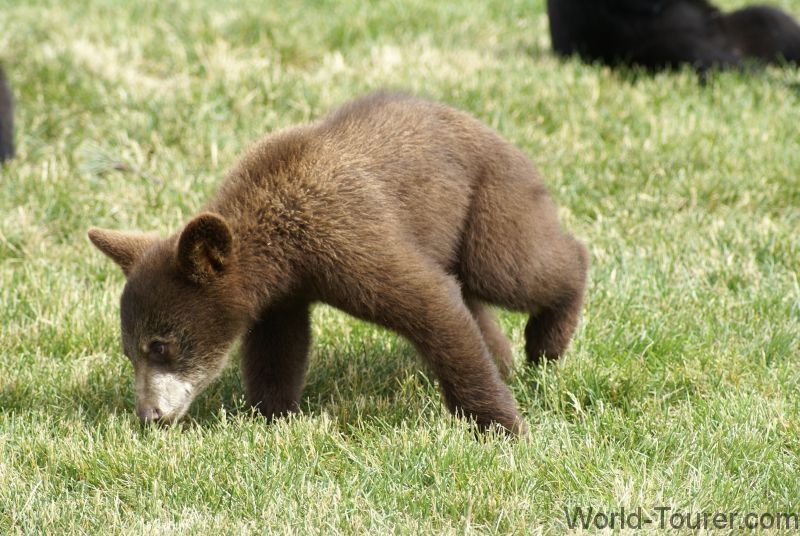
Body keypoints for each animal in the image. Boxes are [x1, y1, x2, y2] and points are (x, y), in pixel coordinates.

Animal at [88, 92, 589, 435]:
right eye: (129, 351)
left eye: (161, 345)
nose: (148, 415)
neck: (281, 246)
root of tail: (498, 133)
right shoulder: (281, 295)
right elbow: (278, 347)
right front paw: (273, 415)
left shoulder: (344, 238)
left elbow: (429, 303)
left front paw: (502, 426)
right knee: (477, 299)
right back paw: (505, 358)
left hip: (487, 200)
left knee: (516, 268)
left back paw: (547, 342)